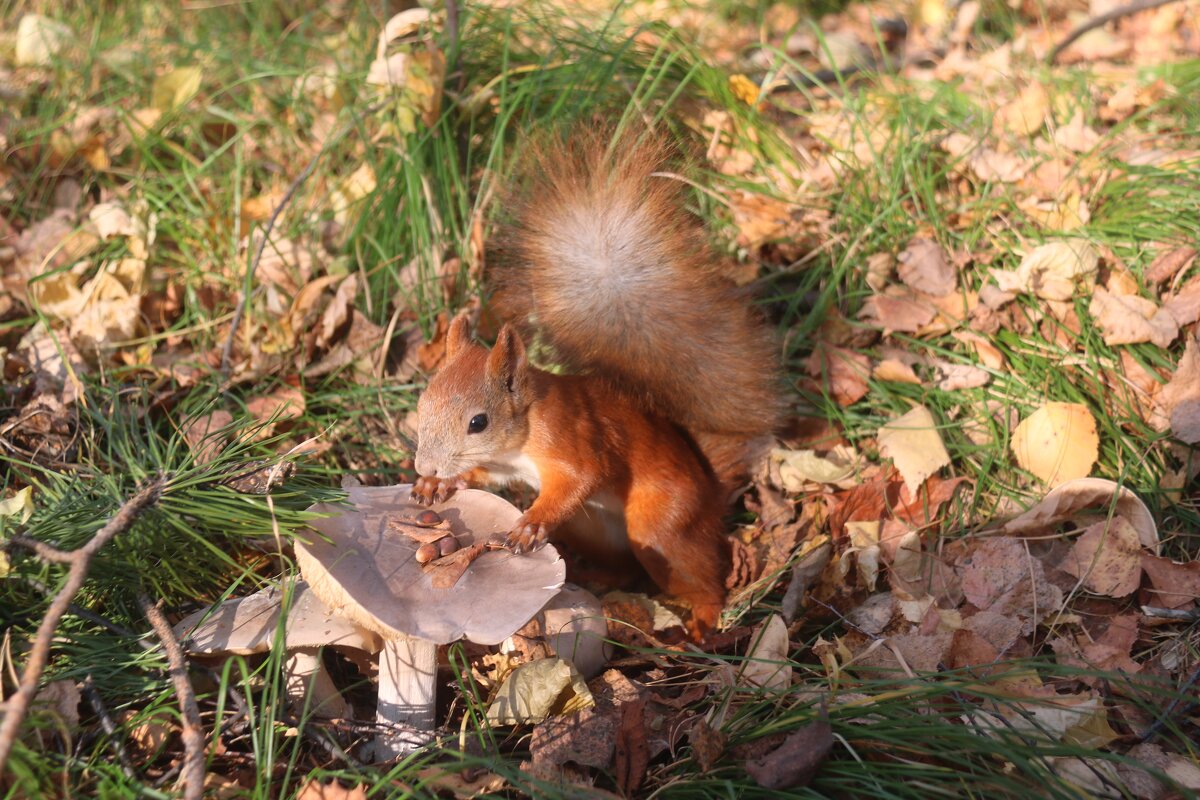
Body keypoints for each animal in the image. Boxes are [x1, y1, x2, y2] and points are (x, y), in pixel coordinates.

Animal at [412, 128, 782, 642]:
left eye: (478, 422)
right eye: (422, 404)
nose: (424, 463)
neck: (522, 433)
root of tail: (710, 489)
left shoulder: (571, 438)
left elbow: (581, 476)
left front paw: (529, 525)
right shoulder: (504, 468)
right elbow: (484, 476)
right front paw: (437, 484)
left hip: (661, 525)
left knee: (702, 573)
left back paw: (704, 619)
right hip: (593, 529)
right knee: (625, 564)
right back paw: (599, 575)